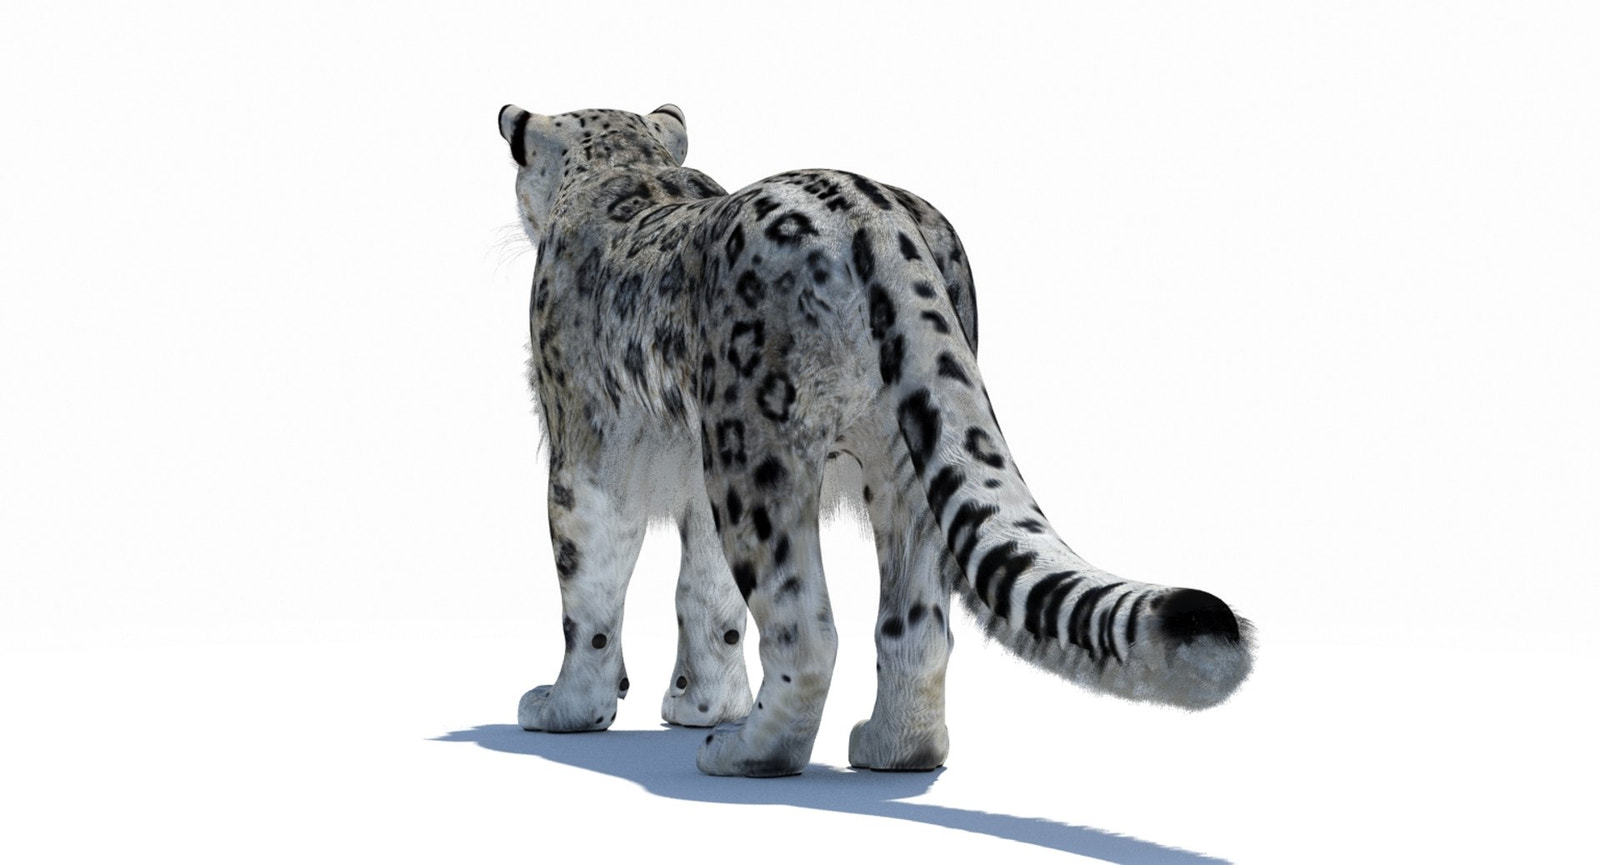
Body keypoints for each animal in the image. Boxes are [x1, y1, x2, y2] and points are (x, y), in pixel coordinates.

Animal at [496, 103, 1253, 777]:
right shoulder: (696, 469)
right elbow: (706, 595)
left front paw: (569, 707)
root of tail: (876, 219)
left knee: (806, 629)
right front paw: (700, 703)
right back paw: (894, 748)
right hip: (905, 456)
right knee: (917, 624)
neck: (623, 168)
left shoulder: (584, 455)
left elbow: (590, 592)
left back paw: (747, 753)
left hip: (757, 458)